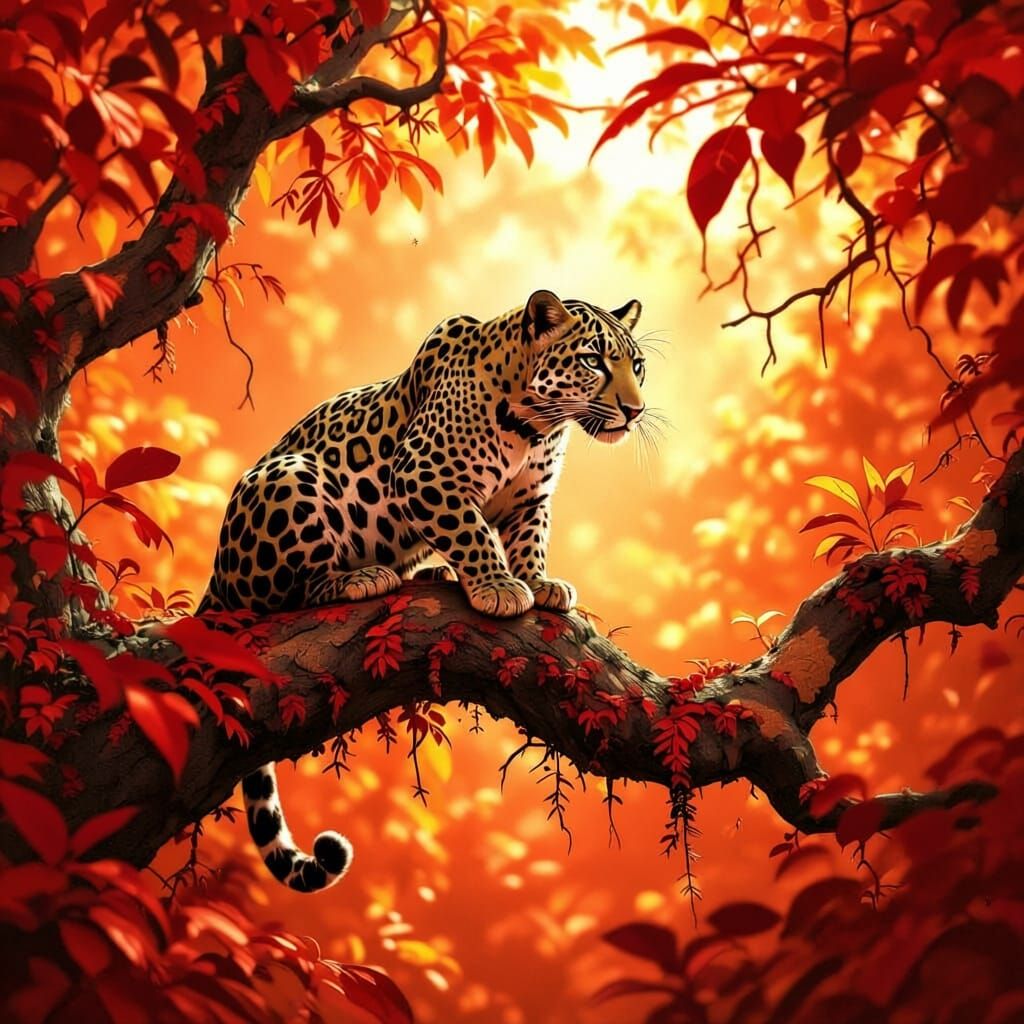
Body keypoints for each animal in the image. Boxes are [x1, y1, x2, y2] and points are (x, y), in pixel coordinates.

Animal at [198, 290, 647, 893]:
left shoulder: (530, 501)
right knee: (286, 595)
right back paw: (360, 578)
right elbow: (472, 531)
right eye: (594, 361)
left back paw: (431, 576)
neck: (537, 427)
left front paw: (538, 582)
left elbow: (529, 540)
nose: (635, 410)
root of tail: (217, 576)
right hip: (290, 480)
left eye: (637, 365)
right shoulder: (425, 477)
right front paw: (499, 587)